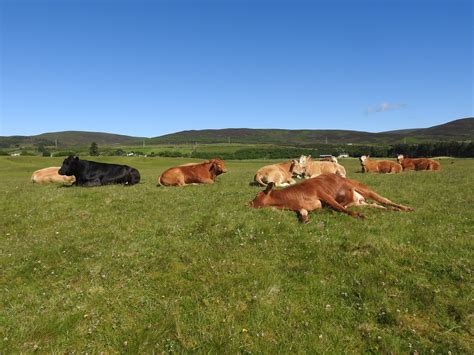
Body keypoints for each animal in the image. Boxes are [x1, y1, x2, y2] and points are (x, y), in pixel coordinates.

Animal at [248, 174, 412, 224]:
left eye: (256, 196)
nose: (247, 203)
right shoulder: (302, 208)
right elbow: (302, 214)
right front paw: (305, 220)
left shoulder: (323, 193)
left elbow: (339, 208)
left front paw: (357, 216)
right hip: (360, 203)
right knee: (380, 206)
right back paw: (393, 211)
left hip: (366, 190)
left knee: (386, 200)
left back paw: (407, 208)